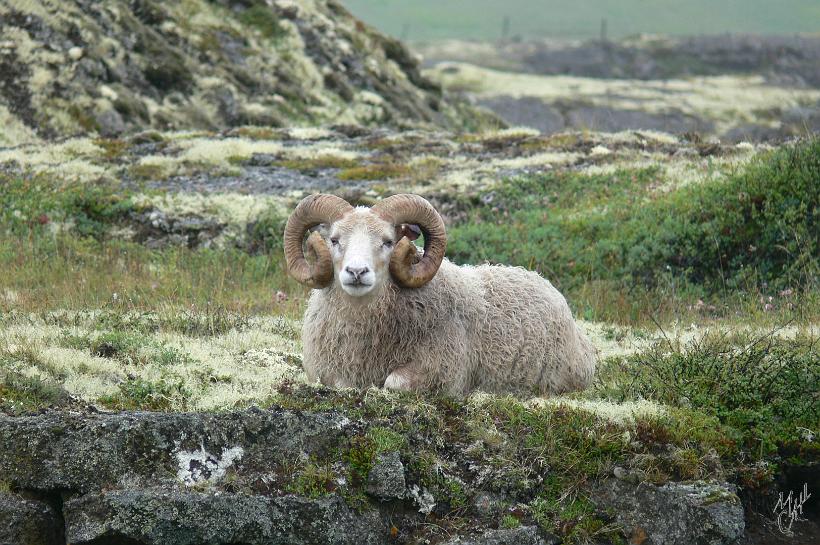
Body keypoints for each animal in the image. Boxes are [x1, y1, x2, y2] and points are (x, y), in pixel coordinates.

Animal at [284, 194, 596, 396]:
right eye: (334, 240)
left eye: (388, 241)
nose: (357, 271)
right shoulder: (324, 368)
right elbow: (338, 382)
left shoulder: (443, 370)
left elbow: (393, 383)